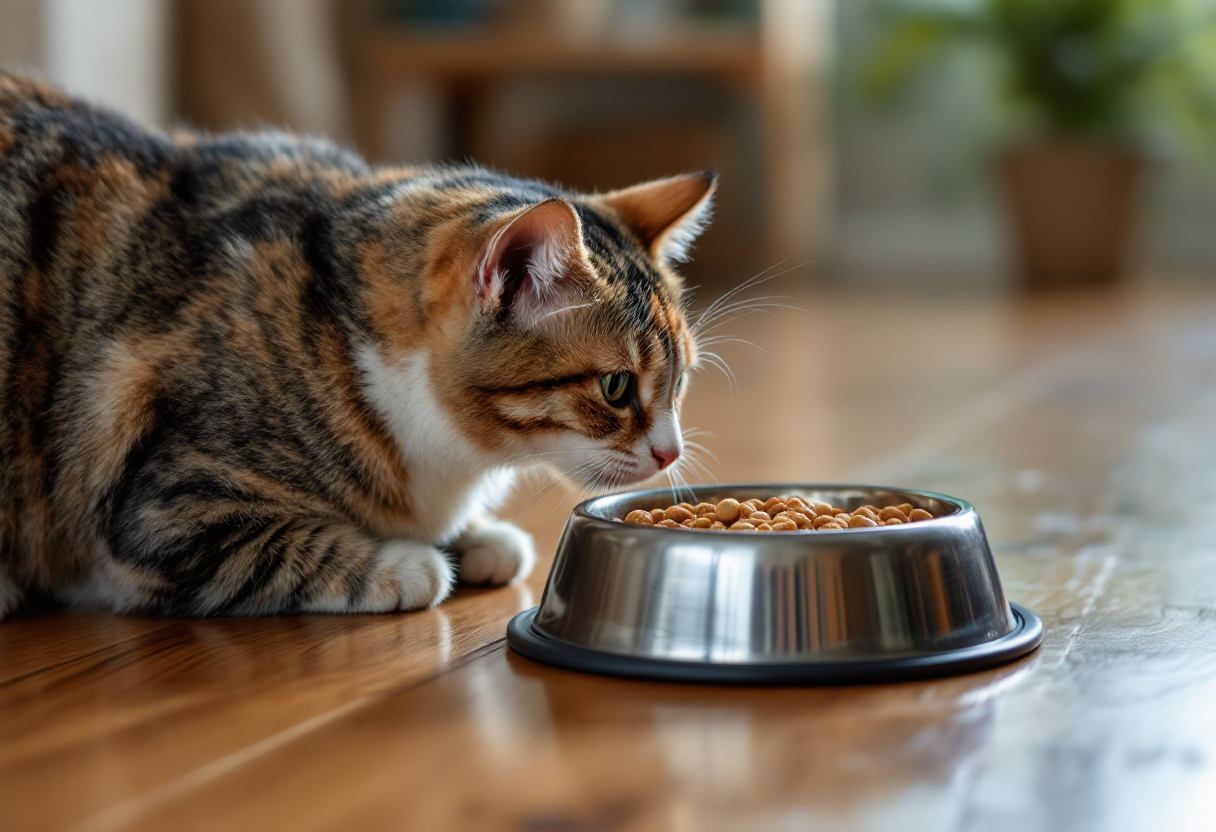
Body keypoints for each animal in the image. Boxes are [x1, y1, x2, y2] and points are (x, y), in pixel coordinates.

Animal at [0, 71, 710, 617]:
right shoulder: (168, 508)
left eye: (680, 381)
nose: (671, 453)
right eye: (615, 386)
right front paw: (412, 562)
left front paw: (476, 537)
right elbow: (281, 552)